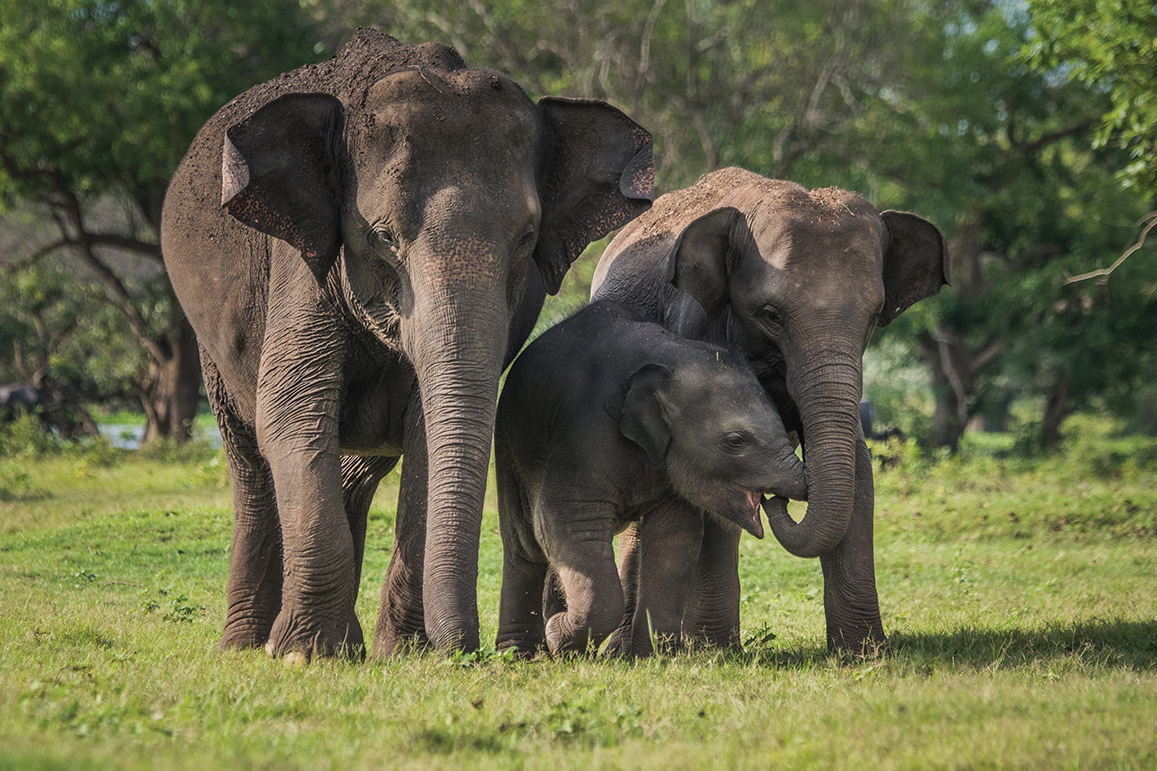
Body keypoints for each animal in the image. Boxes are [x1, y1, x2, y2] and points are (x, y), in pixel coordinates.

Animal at [160, 28, 653, 659]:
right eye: (383, 236)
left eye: (526, 238)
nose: (472, 648)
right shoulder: (302, 263)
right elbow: (293, 412)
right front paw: (300, 655)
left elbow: (423, 434)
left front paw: (403, 654)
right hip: (213, 350)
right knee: (249, 461)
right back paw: (245, 645)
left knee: (355, 470)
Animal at [494, 300, 807, 658]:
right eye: (736, 441)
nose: (781, 498)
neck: (672, 358)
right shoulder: (582, 434)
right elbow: (563, 523)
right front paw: (558, 639)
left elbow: (674, 540)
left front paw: (646, 657)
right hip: (509, 443)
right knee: (524, 544)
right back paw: (520, 652)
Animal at [591, 167, 948, 652]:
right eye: (770, 315)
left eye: (874, 317)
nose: (779, 499)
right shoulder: (696, 326)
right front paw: (716, 653)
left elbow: (858, 469)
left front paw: (862, 653)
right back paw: (628, 648)